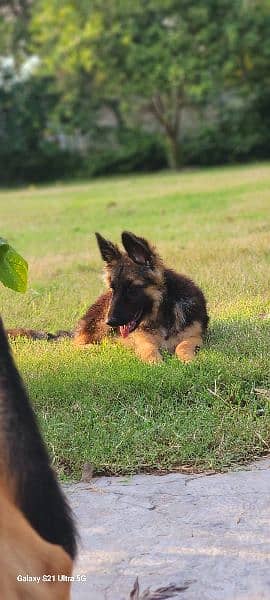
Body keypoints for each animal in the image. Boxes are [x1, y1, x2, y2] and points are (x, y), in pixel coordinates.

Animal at [74, 229, 209, 360]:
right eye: (113, 288)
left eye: (131, 288)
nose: (109, 321)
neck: (163, 313)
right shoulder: (142, 340)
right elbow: (149, 350)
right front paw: (156, 363)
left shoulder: (194, 337)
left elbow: (183, 345)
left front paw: (188, 360)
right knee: (76, 343)